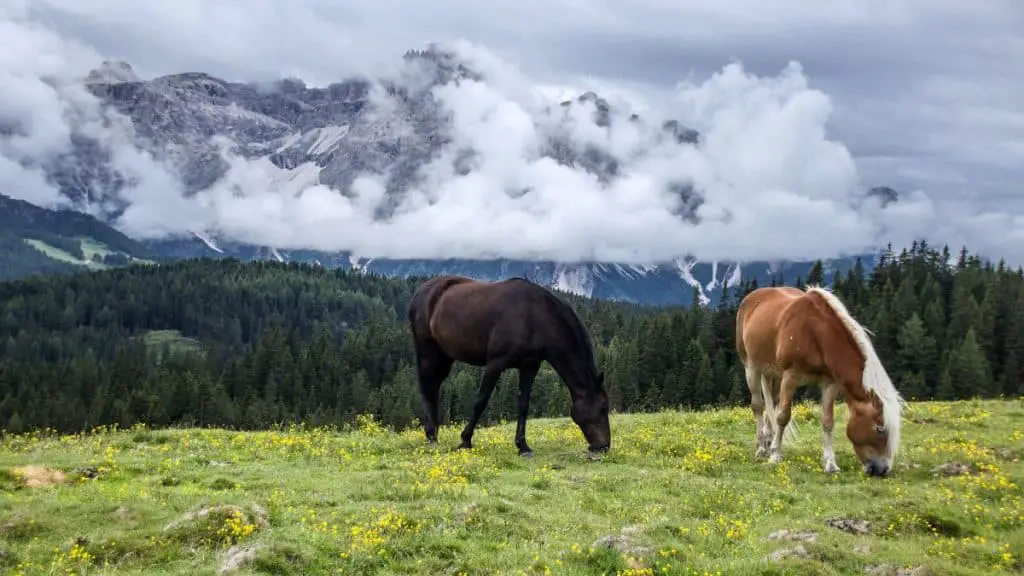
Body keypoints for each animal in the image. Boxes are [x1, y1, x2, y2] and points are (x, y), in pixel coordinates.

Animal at [405, 272, 610, 457]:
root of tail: (422, 290)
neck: (535, 317)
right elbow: (481, 401)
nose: (604, 446)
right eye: (602, 407)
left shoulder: (529, 367)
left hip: (446, 355)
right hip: (426, 350)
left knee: (434, 387)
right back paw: (431, 436)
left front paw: (523, 446)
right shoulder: (495, 364)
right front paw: (465, 441)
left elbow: (523, 405)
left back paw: (434, 432)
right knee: (427, 387)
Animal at [737, 282, 905, 475]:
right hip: (751, 367)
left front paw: (830, 464)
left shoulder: (829, 384)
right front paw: (775, 455)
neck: (815, 332)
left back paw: (768, 441)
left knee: (772, 402)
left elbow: (827, 421)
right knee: (758, 406)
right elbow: (783, 416)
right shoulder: (790, 376)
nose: (882, 470)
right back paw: (761, 448)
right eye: (879, 429)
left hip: (774, 374)